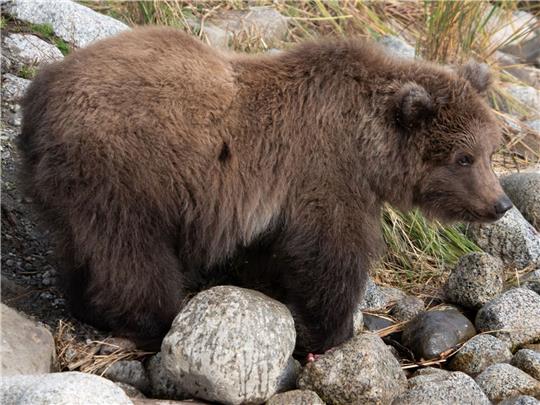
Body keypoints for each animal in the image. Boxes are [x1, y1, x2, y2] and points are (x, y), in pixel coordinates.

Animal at [19, 26, 512, 354]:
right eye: (463, 158)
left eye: (491, 150)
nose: (501, 203)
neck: (367, 143)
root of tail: (40, 93)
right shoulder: (326, 171)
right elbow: (331, 254)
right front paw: (331, 332)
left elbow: (274, 252)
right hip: (128, 169)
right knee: (130, 252)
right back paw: (153, 318)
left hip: (74, 183)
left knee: (83, 244)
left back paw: (83, 302)